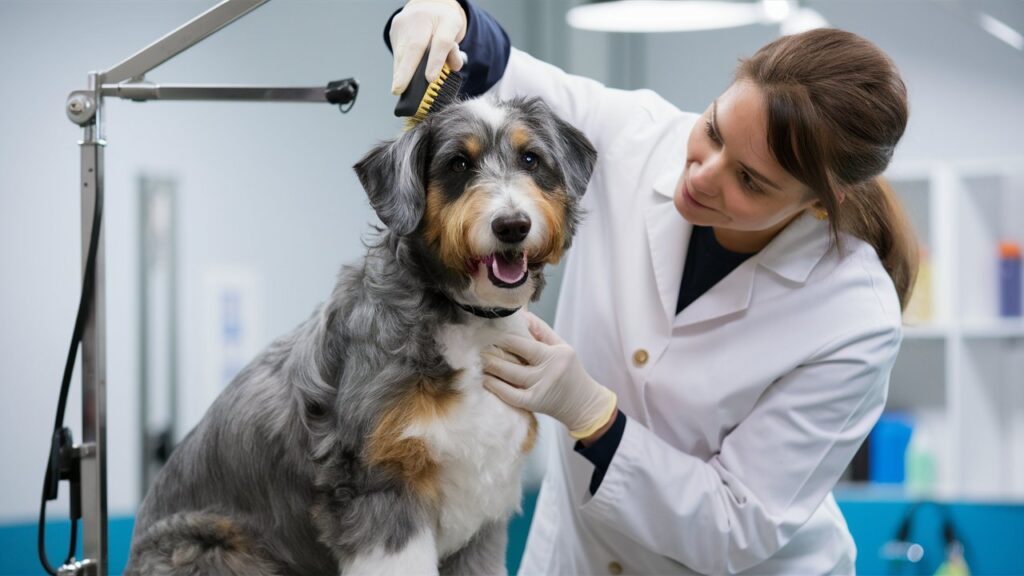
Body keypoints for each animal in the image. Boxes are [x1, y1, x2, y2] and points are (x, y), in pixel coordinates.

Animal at [123, 95, 598, 573]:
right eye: (459, 164)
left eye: (530, 159)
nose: (512, 225)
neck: (463, 317)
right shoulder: (383, 490)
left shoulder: (483, 519)